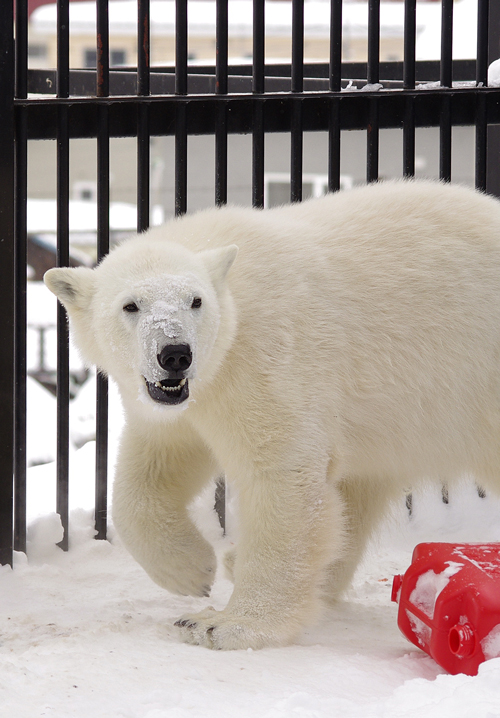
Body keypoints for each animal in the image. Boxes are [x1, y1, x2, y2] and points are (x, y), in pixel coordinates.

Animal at [44, 181, 500, 652]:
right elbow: (157, 464)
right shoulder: (184, 402)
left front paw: (224, 624)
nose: (175, 354)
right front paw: (192, 570)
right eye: (130, 306)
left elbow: (281, 475)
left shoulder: (268, 358)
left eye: (195, 301)